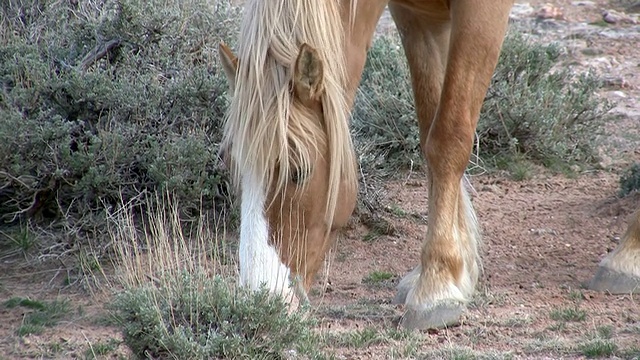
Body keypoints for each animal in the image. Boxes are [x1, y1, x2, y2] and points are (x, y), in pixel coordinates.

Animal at [218, 0, 636, 330]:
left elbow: (448, 137)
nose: (261, 298)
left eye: (297, 172)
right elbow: (429, 124)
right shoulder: (416, 15)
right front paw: (455, 270)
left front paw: (436, 286)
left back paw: (626, 257)